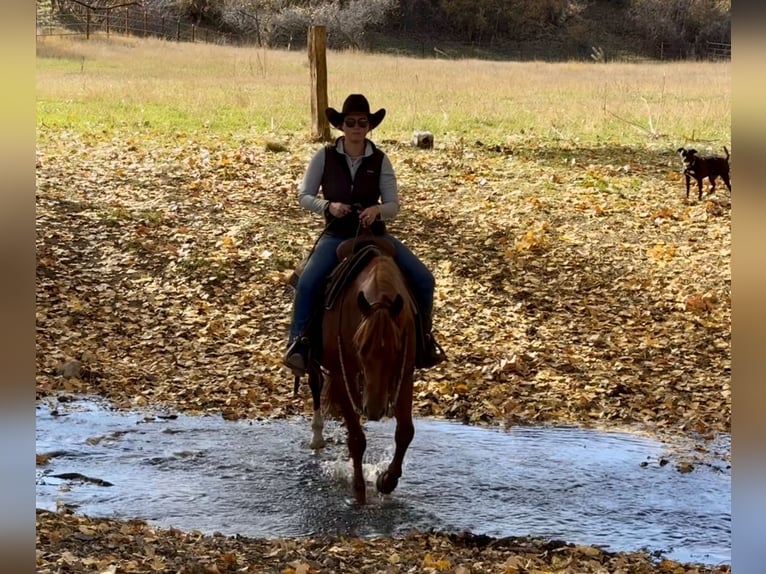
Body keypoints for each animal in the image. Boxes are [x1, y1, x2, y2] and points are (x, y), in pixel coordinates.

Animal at [305, 238, 417, 505]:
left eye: (396, 349)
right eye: (360, 347)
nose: (374, 410)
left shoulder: (405, 374)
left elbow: (405, 432)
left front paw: (387, 480)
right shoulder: (340, 375)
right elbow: (357, 440)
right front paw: (359, 491)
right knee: (315, 383)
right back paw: (317, 436)